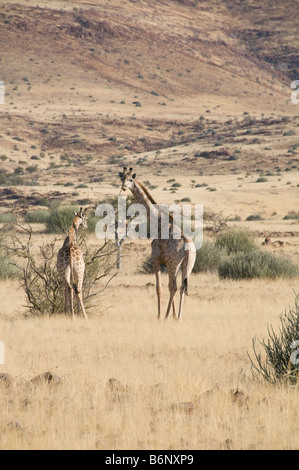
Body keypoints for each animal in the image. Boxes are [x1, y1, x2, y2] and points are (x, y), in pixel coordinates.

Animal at [118, 167, 198, 322]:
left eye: (130, 179)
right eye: (122, 178)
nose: (123, 187)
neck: (158, 221)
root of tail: (188, 248)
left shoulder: (156, 260)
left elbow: (159, 288)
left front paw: (160, 315)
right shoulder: (165, 263)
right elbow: (167, 285)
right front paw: (173, 314)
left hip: (174, 263)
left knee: (174, 287)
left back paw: (166, 316)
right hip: (188, 264)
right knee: (182, 287)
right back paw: (179, 317)